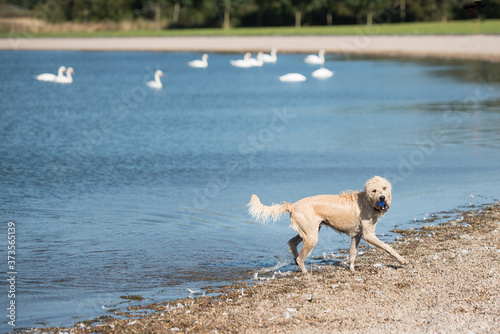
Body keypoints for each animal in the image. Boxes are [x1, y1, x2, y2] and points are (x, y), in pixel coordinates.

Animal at [248, 176, 408, 272]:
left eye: (384, 188)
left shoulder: (357, 235)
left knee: (292, 242)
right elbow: (388, 248)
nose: (382, 198)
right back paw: (305, 272)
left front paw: (352, 269)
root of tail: (293, 205)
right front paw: (402, 260)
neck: (367, 201)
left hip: (310, 231)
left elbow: (352, 253)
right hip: (311, 237)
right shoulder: (369, 235)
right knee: (301, 258)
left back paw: (295, 259)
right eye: (374, 190)